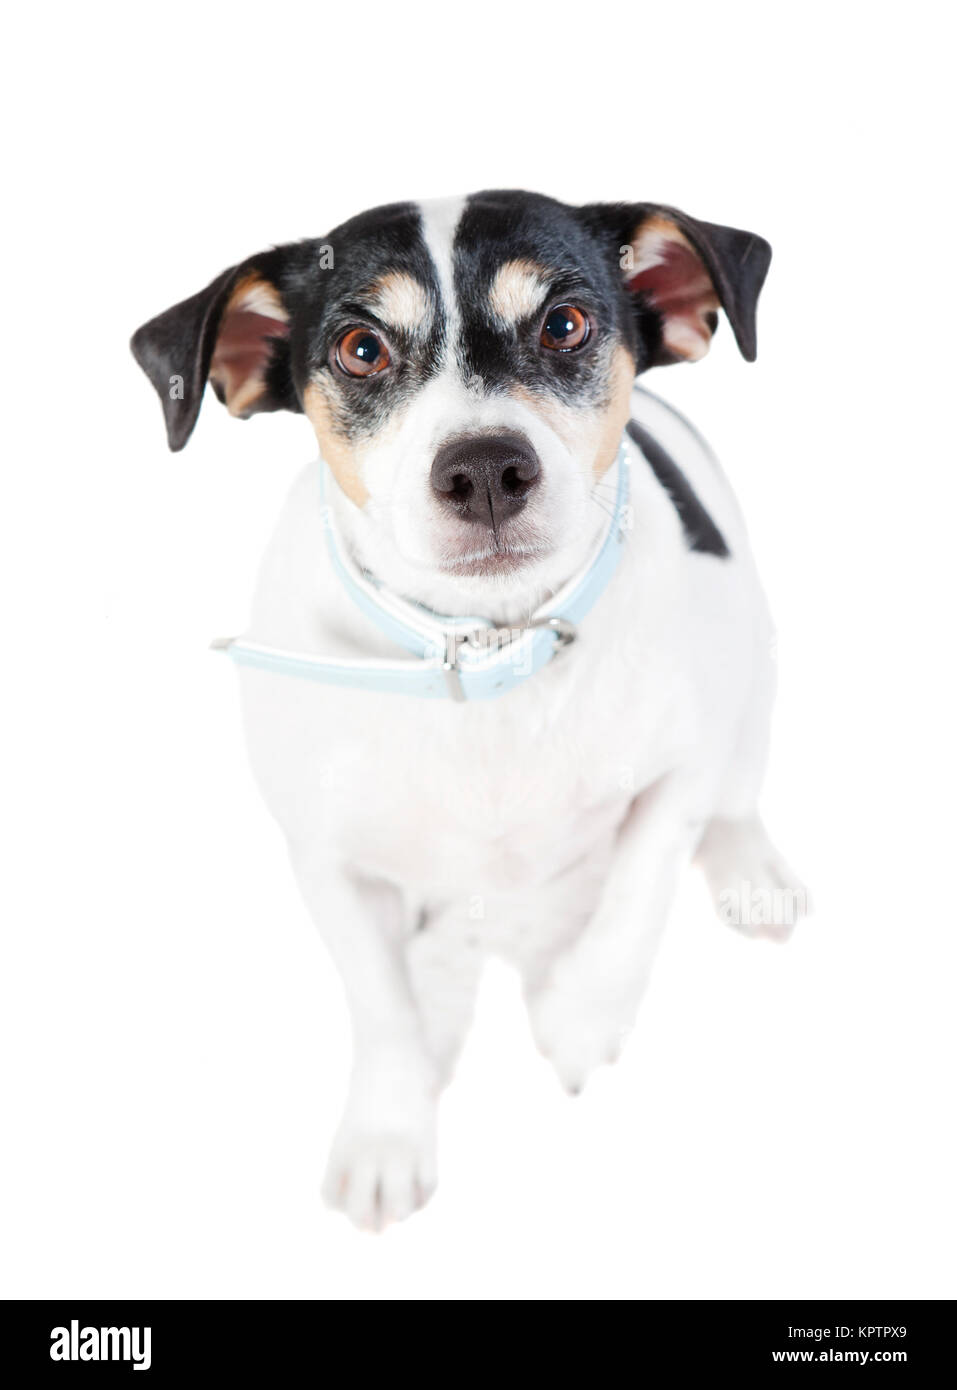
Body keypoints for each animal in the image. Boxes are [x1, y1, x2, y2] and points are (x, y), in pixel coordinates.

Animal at [128, 193, 801, 1228]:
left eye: (564, 324)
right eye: (361, 348)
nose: (484, 468)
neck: (486, 649)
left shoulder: (683, 763)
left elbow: (639, 885)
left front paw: (579, 1017)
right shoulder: (327, 859)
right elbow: (380, 1004)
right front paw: (388, 1129)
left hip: (753, 686)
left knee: (730, 804)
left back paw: (748, 870)